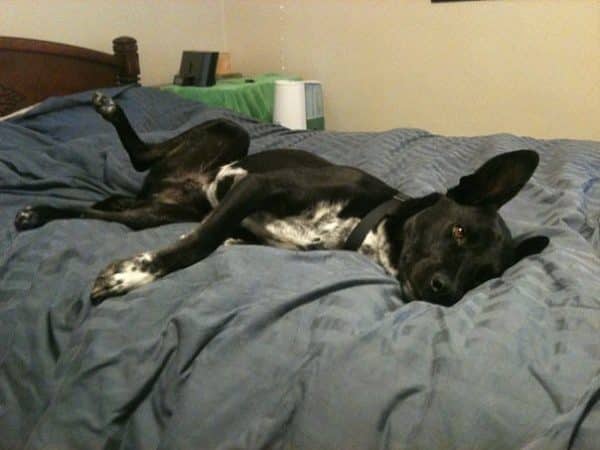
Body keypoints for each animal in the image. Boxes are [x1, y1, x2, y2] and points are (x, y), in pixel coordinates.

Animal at [12, 93, 548, 308]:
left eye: (484, 276)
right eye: (458, 231)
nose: (445, 291)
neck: (366, 223)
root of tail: (163, 187)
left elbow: (211, 240)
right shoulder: (256, 188)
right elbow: (195, 246)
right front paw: (131, 275)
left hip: (157, 212)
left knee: (105, 210)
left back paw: (41, 211)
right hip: (230, 133)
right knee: (140, 155)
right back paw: (108, 108)